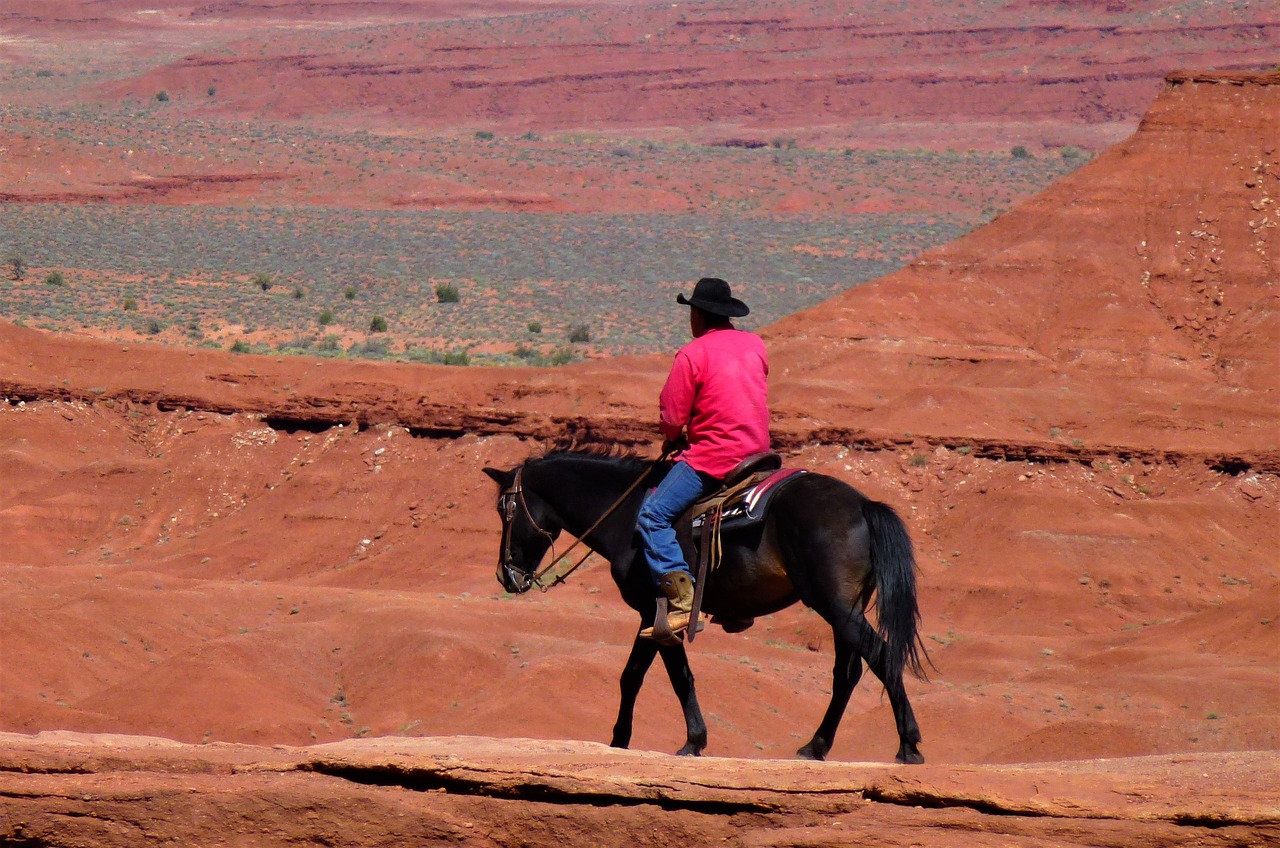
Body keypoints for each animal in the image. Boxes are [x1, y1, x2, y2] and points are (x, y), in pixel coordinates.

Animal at [481, 445, 931, 763]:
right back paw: (815, 746)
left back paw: (908, 746)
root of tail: (863, 505)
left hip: (836, 605)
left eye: (506, 509)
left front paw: (692, 741)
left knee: (881, 655)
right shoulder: (649, 616)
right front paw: (619, 741)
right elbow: (632, 676)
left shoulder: (660, 611)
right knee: (848, 673)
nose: (506, 576)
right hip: (843, 607)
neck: (627, 515)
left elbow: (678, 676)